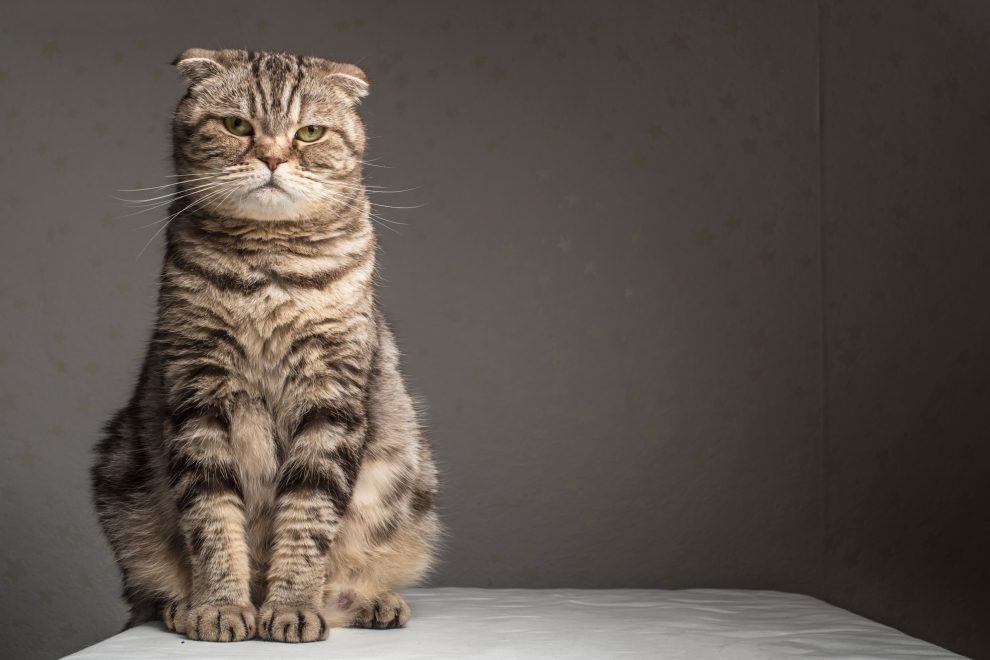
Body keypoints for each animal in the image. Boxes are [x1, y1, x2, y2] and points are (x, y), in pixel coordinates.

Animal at [92, 47, 442, 644]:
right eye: (238, 126)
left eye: (309, 132)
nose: (274, 158)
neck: (267, 269)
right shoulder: (198, 391)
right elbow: (212, 517)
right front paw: (221, 606)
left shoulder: (330, 397)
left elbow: (307, 518)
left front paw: (291, 607)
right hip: (119, 475)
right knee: (148, 592)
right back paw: (182, 606)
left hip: (415, 484)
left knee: (353, 577)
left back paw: (370, 602)